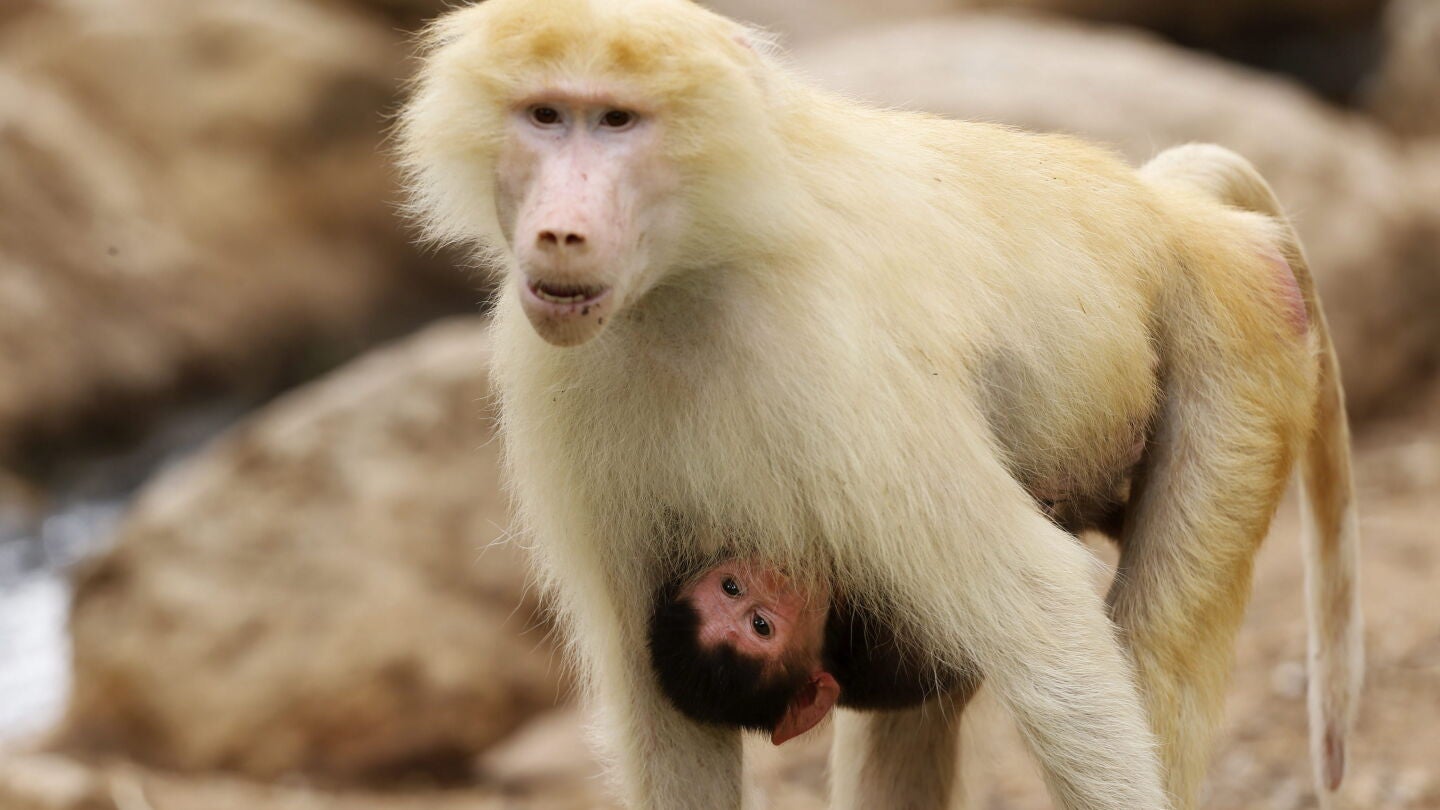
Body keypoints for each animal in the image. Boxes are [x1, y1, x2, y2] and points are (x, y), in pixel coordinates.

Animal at [397, 1, 1362, 809]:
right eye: (544, 116)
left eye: (615, 121)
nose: (560, 232)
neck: (689, 279)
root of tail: (1167, 212)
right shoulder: (558, 382)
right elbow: (660, 701)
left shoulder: (841, 364)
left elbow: (1044, 615)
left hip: (1236, 347)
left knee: (1149, 641)